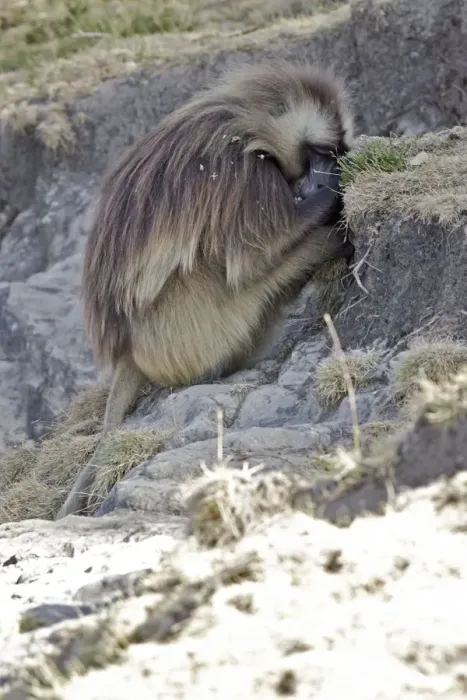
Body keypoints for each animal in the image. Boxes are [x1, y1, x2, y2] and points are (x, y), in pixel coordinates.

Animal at [56, 60, 355, 520]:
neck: (244, 124)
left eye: (335, 151)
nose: (326, 175)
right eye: (322, 151)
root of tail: (127, 353)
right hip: (183, 332)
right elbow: (251, 259)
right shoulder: (243, 177)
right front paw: (330, 201)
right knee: (225, 268)